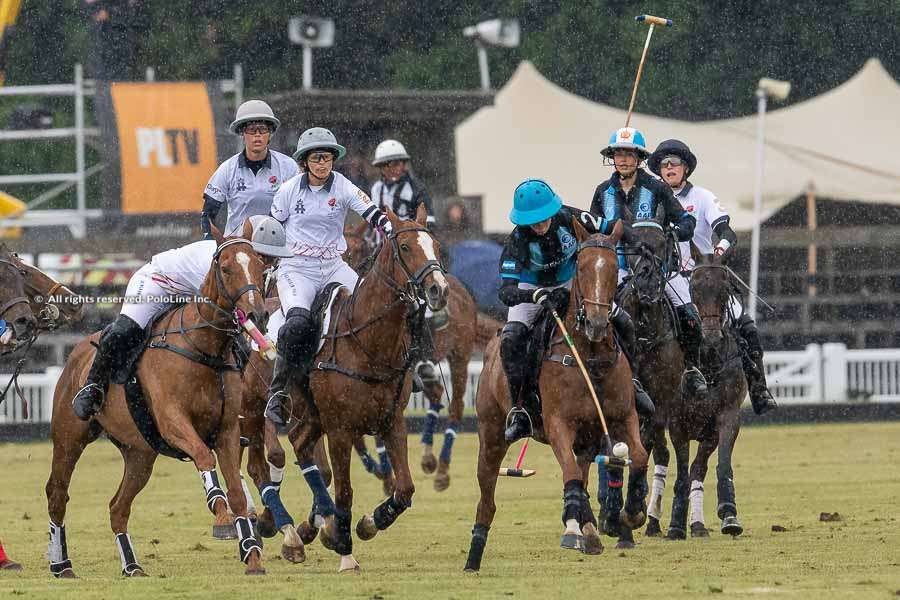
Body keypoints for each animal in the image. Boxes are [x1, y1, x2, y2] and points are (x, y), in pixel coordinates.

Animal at [46, 230, 270, 576]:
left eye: (260, 267)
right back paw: (61, 565)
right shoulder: (173, 422)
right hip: (69, 438)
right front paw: (220, 514)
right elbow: (204, 458)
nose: (258, 314)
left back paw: (131, 566)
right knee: (57, 493)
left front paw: (252, 554)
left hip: (140, 453)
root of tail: (77, 352)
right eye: (227, 268)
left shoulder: (228, 430)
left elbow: (237, 492)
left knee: (117, 507)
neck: (204, 348)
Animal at [464, 220, 648, 572]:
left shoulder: (623, 417)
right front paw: (577, 530)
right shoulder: (559, 424)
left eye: (613, 268)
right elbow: (571, 475)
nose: (596, 323)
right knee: (487, 498)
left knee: (583, 472)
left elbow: (640, 457)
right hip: (491, 433)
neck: (590, 357)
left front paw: (631, 512)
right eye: (582, 267)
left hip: (588, 438)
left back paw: (587, 528)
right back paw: (473, 557)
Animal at [656, 248, 748, 540]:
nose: (710, 337)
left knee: (697, 468)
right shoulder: (677, 424)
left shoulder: (725, 418)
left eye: (725, 288)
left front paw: (729, 514)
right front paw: (675, 525)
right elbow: (682, 474)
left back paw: (697, 524)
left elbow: (718, 466)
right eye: (694, 288)